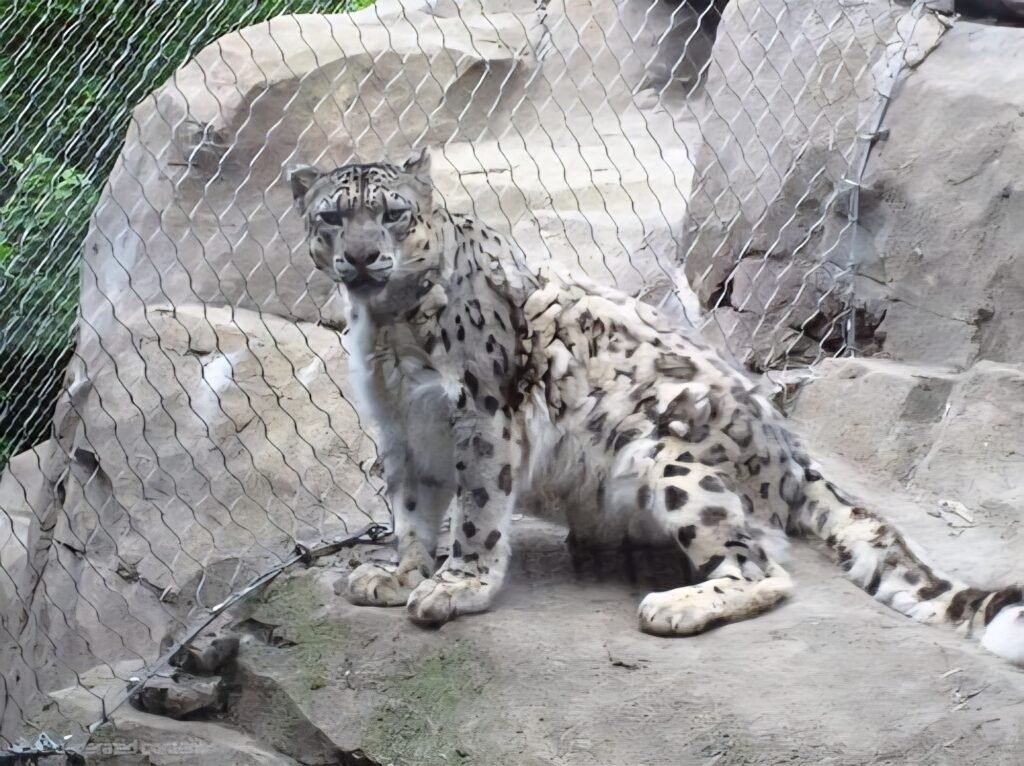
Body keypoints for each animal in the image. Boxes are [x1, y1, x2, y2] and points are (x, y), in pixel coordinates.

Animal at [288, 149, 1024, 665]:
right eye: (332, 216)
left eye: (392, 213)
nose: (361, 257)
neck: (389, 329)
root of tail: (792, 456)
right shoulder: (403, 427)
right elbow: (412, 512)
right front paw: (398, 574)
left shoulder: (482, 414)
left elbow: (477, 511)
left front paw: (455, 587)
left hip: (671, 459)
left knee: (761, 562)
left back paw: (675, 606)